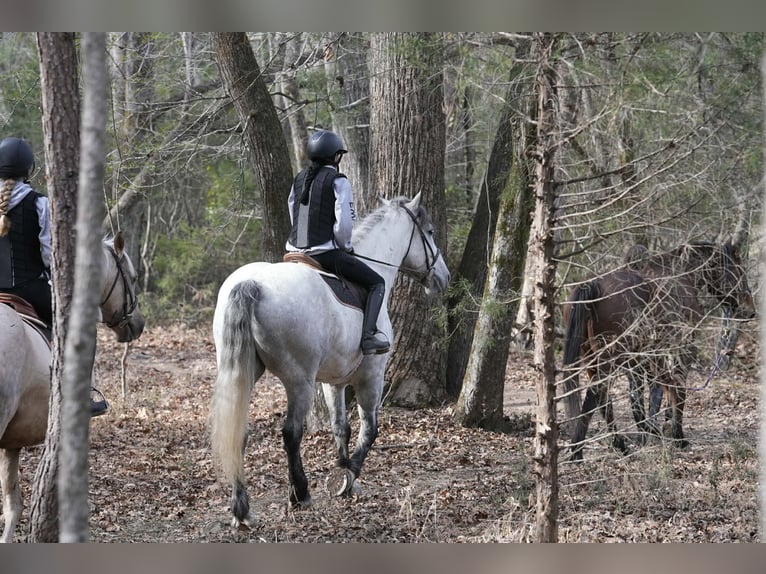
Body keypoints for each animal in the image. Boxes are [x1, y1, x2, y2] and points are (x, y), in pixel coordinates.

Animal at [210, 193, 451, 529]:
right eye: (429, 232)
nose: (444, 277)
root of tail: (252, 285)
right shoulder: (372, 375)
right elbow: (369, 429)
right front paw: (350, 478)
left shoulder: (333, 381)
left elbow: (341, 427)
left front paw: (342, 471)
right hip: (299, 379)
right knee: (291, 433)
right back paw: (299, 493)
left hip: (244, 370)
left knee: (238, 434)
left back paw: (241, 509)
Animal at [561, 240, 754, 461]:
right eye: (739, 271)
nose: (749, 310)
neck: (682, 277)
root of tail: (593, 285)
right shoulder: (683, 349)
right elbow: (676, 390)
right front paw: (677, 436)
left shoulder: (648, 356)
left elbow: (651, 394)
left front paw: (653, 431)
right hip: (608, 358)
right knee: (596, 396)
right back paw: (582, 450)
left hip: (591, 357)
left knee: (604, 399)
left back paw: (613, 445)